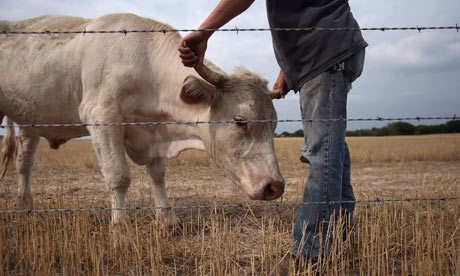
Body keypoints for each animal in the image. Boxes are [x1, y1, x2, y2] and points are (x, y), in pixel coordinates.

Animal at [0, 12, 284, 224]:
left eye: (273, 124)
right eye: (240, 120)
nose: (275, 186)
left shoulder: (153, 131)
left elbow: (158, 176)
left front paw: (167, 221)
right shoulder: (102, 118)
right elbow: (118, 177)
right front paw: (120, 230)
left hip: (31, 121)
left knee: (24, 163)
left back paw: (26, 207)